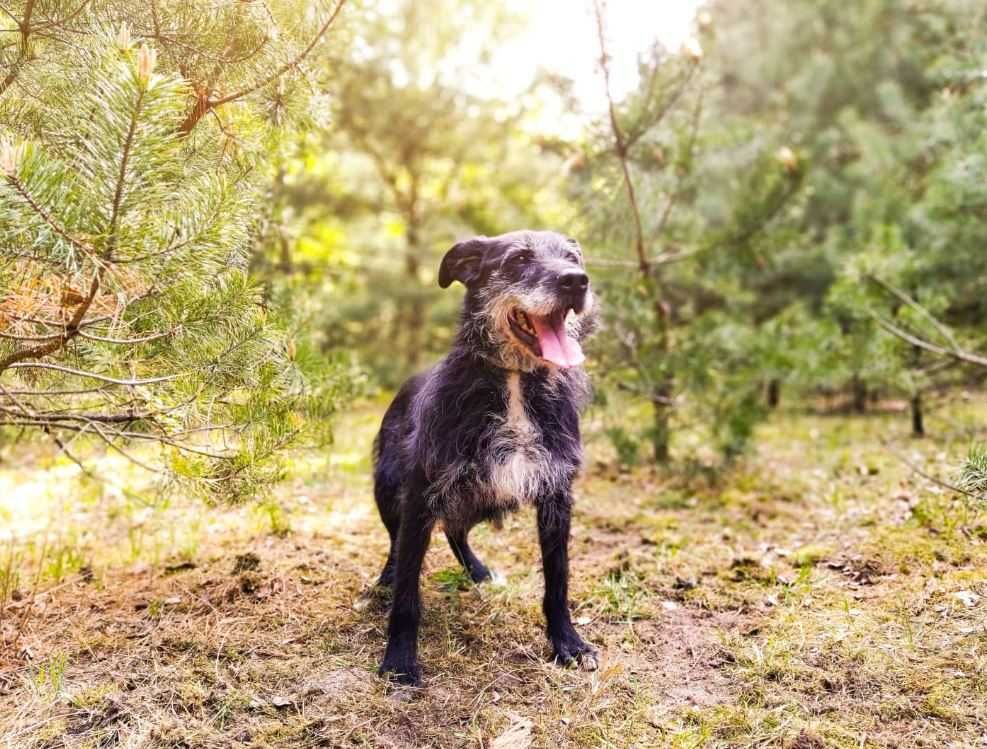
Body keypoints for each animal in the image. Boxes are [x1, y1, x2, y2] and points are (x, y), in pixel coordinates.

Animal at [372, 228, 600, 684]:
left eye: (573, 258)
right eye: (519, 259)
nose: (576, 281)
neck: (514, 383)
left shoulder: (556, 496)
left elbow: (558, 580)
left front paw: (567, 643)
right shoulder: (420, 494)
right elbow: (408, 587)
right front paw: (399, 659)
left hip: (482, 497)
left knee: (455, 531)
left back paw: (477, 571)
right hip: (389, 491)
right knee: (396, 541)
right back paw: (387, 577)